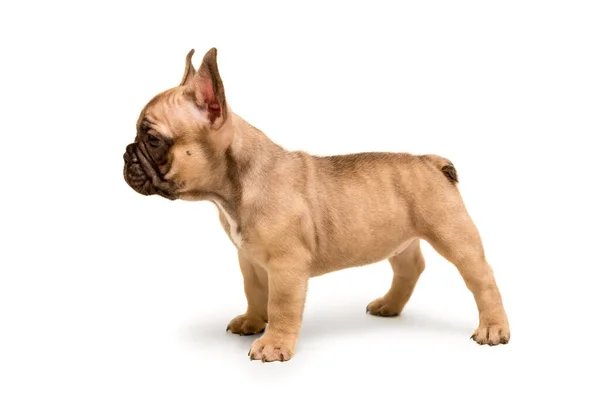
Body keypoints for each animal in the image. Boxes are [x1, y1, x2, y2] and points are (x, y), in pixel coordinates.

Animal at [123, 47, 510, 362]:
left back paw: (493, 328)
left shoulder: (287, 266)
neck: (234, 187)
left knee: (481, 277)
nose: (126, 154)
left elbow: (281, 305)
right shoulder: (249, 259)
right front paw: (252, 321)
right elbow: (254, 292)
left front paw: (273, 344)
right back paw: (389, 305)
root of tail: (431, 162)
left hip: (452, 233)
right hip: (398, 237)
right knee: (410, 267)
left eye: (152, 139)